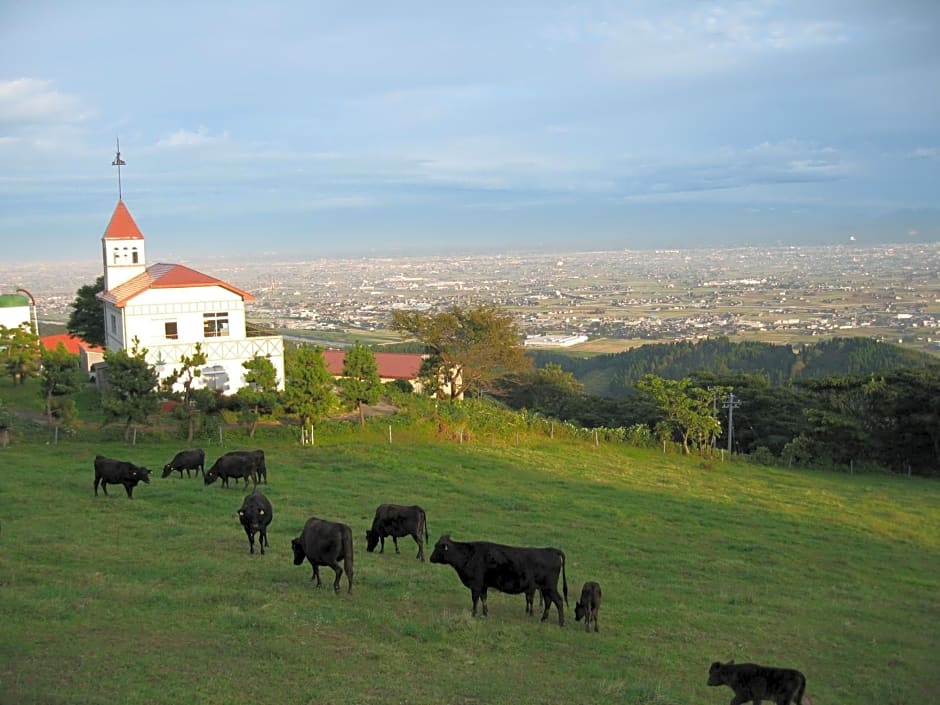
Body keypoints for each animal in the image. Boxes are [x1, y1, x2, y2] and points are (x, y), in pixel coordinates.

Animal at [430, 532, 568, 624]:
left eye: (437, 546)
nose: (430, 558)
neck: (469, 556)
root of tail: (552, 550)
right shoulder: (483, 585)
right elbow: (484, 599)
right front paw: (485, 613)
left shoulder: (476, 584)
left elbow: (475, 600)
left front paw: (473, 614)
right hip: (545, 588)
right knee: (549, 601)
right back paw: (543, 619)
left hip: (549, 587)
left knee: (559, 601)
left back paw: (561, 623)